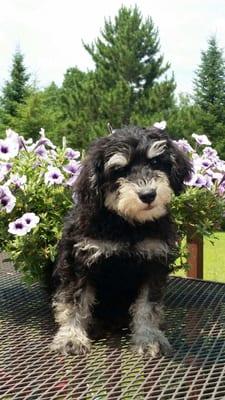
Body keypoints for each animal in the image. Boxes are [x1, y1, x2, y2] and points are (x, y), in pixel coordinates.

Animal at [51, 126, 192, 356]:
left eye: (155, 162)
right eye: (119, 170)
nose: (148, 195)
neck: (127, 224)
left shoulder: (154, 263)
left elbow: (148, 306)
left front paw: (150, 338)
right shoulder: (79, 261)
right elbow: (74, 301)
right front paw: (71, 338)